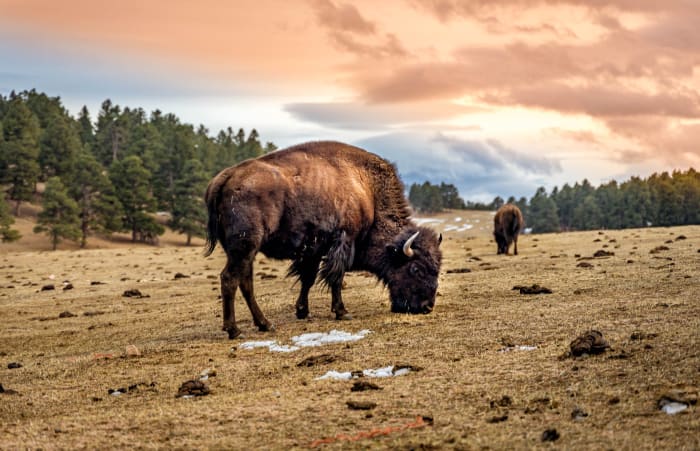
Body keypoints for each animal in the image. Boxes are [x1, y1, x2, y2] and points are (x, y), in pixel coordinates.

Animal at [204, 141, 442, 339]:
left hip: (246, 252)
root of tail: (225, 177)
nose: (426, 307)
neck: (367, 189)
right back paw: (234, 330)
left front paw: (302, 311)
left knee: (246, 283)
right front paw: (342, 312)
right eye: (416, 269)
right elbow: (335, 277)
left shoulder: (314, 249)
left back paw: (265, 324)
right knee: (229, 279)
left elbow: (308, 278)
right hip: (244, 247)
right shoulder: (343, 241)